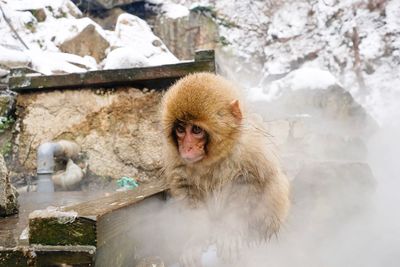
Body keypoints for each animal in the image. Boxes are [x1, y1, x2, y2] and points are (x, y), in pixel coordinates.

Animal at [161, 73, 290, 264]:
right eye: (180, 129)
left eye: (196, 129)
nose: (186, 147)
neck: (214, 158)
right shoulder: (176, 160)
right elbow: (188, 193)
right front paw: (197, 238)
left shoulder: (250, 148)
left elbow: (249, 183)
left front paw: (230, 231)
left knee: (275, 183)